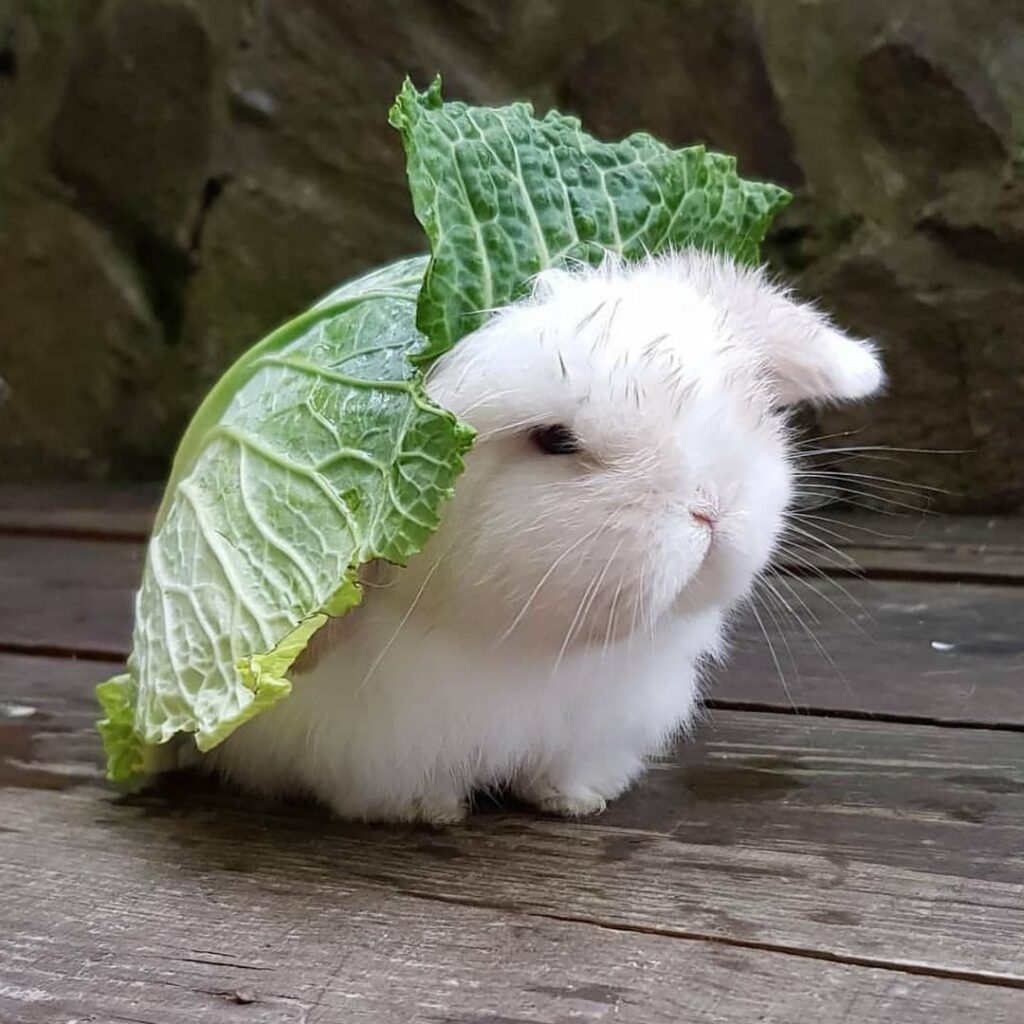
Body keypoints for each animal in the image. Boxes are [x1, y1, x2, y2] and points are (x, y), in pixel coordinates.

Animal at [204, 250, 884, 823]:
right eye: (555, 440)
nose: (711, 508)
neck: (529, 647)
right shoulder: (371, 740)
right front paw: (431, 810)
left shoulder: (594, 726)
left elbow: (563, 771)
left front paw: (577, 800)